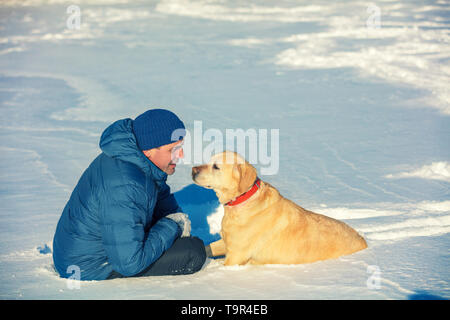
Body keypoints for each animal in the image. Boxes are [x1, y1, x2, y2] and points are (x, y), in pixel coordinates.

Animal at [192, 151, 368, 266]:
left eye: (216, 167)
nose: (193, 169)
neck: (243, 200)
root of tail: (364, 242)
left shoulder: (236, 256)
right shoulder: (226, 242)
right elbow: (206, 248)